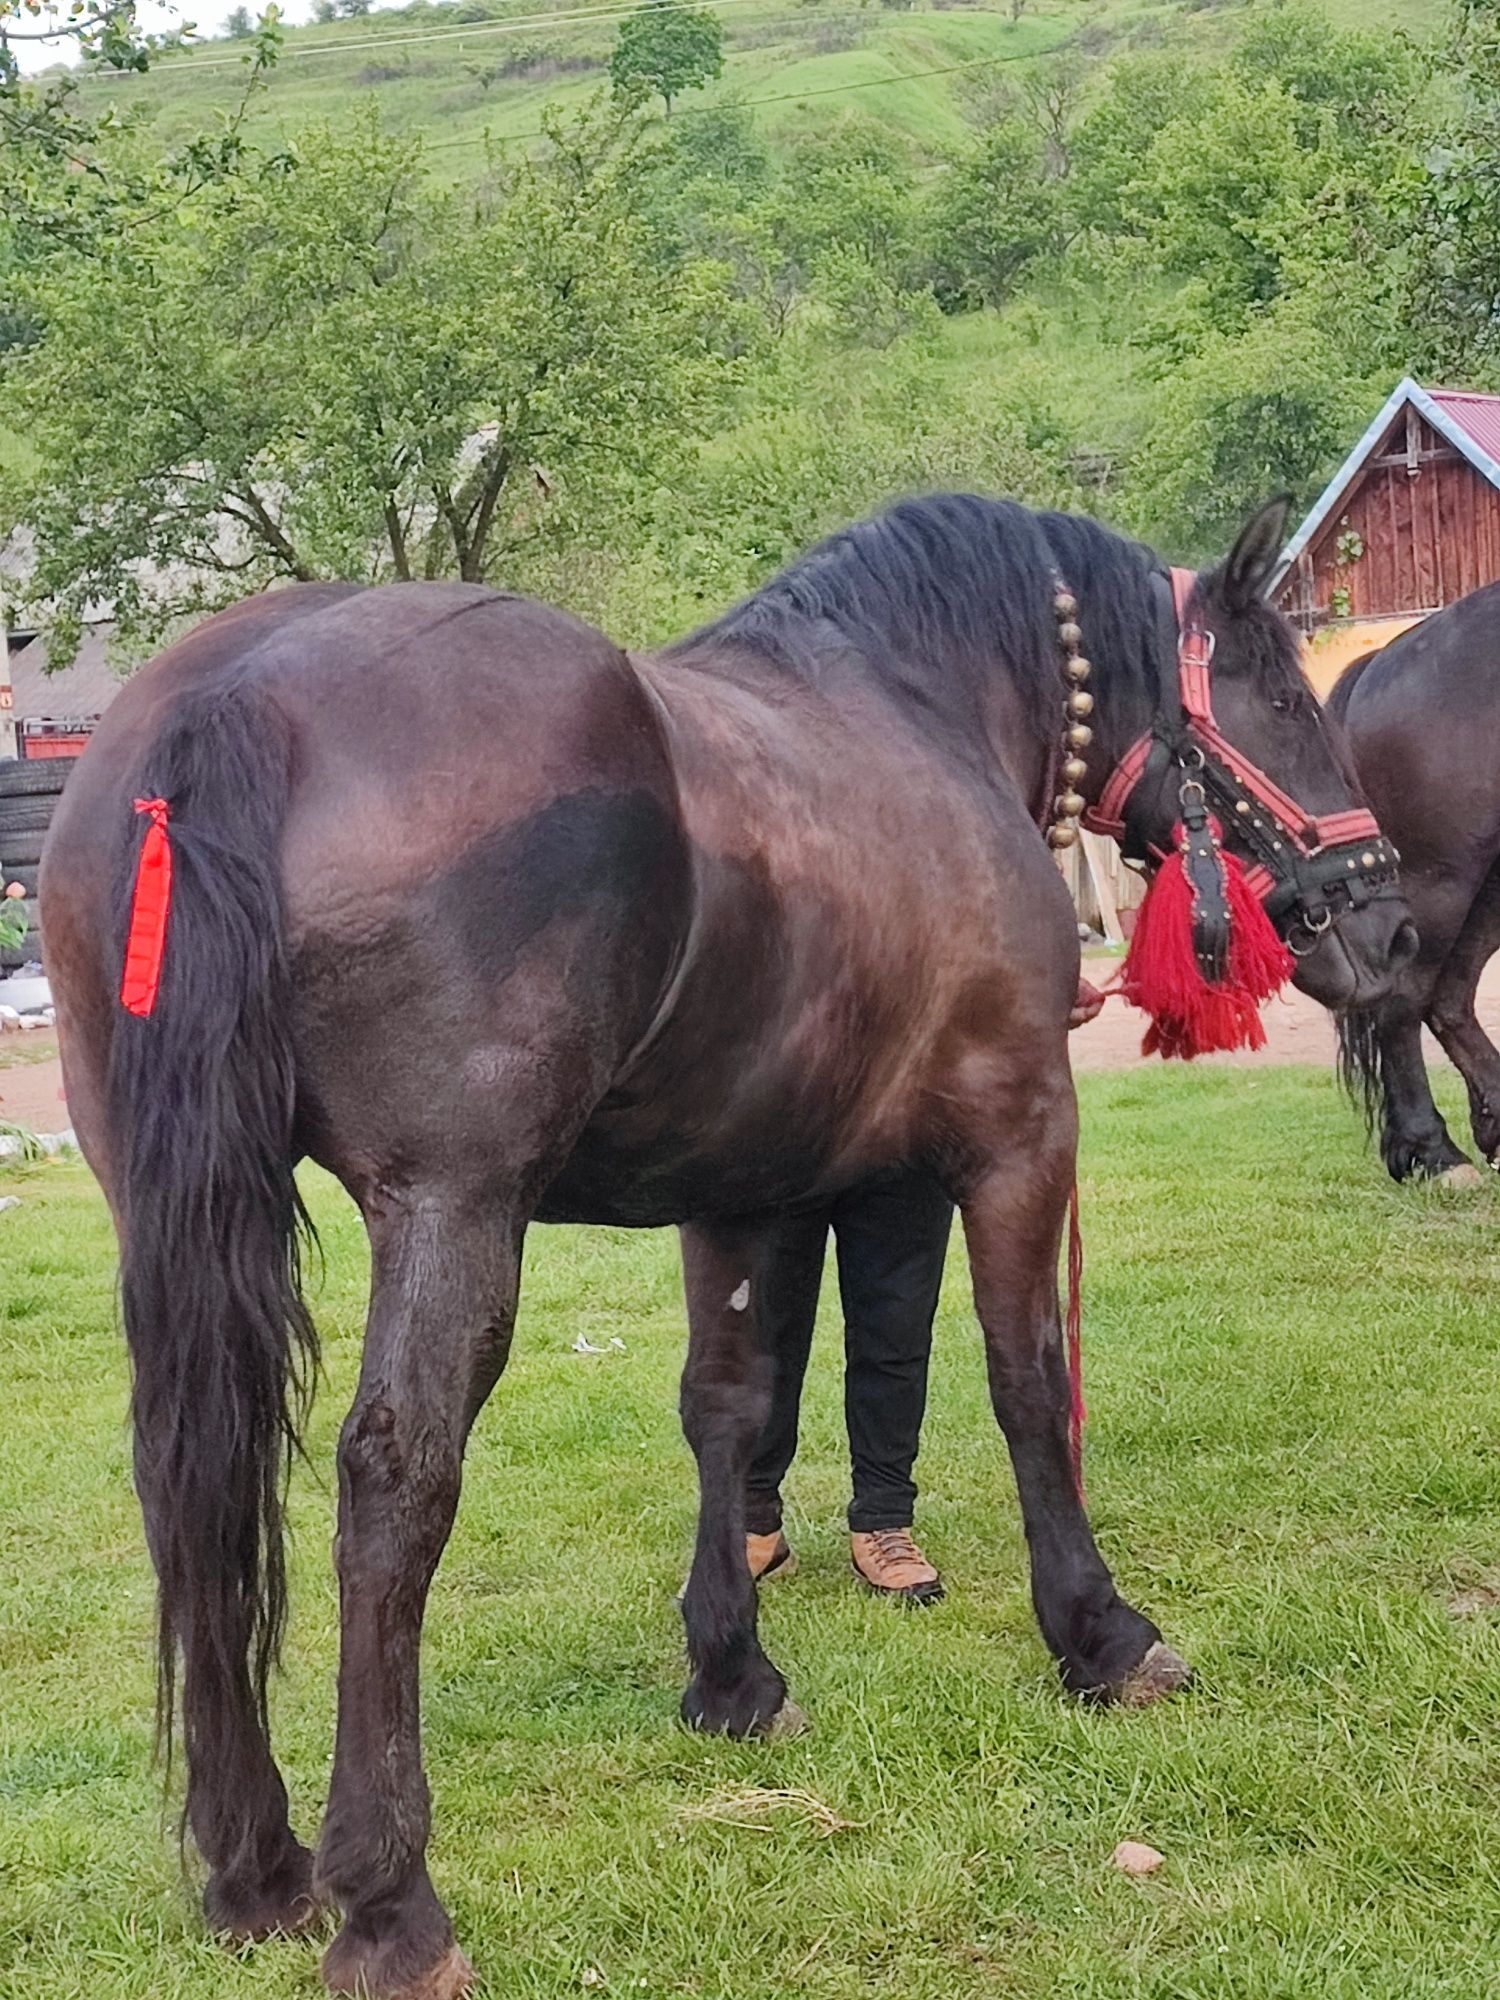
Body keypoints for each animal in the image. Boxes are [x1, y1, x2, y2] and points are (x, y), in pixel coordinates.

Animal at [41, 492, 1416, 1992]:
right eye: (1278, 689)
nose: (1391, 922)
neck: (916, 709)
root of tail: (234, 695)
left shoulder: (745, 1187)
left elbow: (728, 1407)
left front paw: (732, 1675)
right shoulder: (1019, 1129)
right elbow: (1027, 1381)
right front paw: (1103, 1635)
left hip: (171, 1209)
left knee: (191, 1470)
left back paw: (253, 1865)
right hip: (453, 1206)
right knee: (392, 1481)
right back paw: (391, 1898)